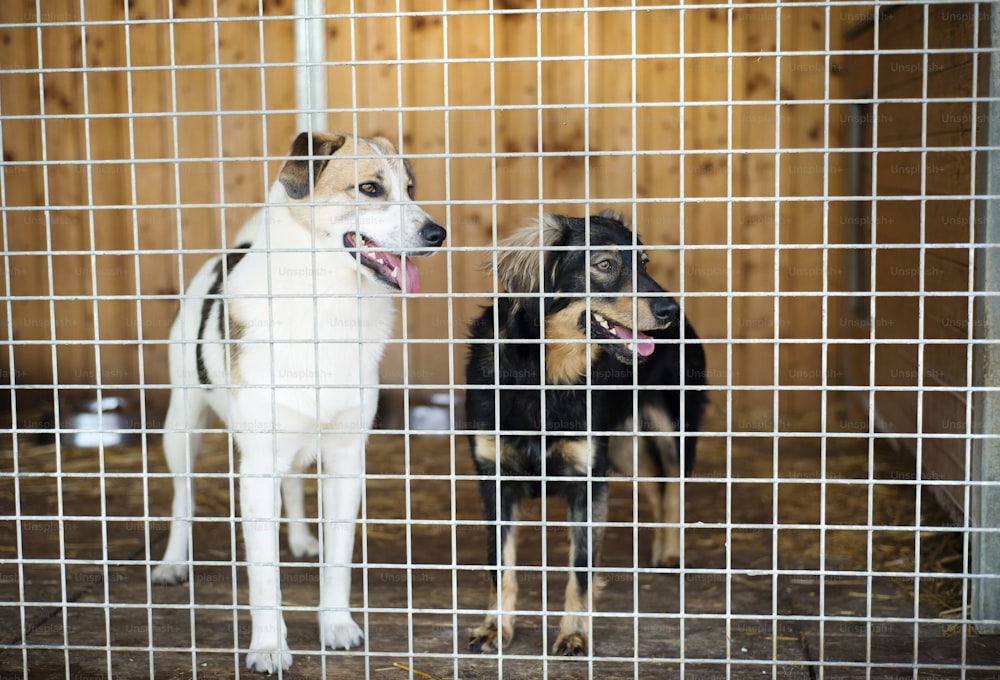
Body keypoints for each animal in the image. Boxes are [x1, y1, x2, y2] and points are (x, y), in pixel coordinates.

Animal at [150, 130, 444, 672]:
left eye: (411, 189)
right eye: (370, 188)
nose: (439, 233)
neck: (324, 301)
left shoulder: (347, 461)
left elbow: (338, 561)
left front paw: (337, 625)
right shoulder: (257, 466)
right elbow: (264, 574)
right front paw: (268, 646)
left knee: (292, 484)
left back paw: (303, 539)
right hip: (182, 426)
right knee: (183, 496)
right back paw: (173, 562)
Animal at [464, 211, 708, 652]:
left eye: (644, 264)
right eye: (605, 265)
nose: (670, 310)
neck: (547, 375)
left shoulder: (588, 480)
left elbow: (580, 569)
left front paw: (574, 633)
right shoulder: (495, 479)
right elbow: (499, 565)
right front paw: (495, 626)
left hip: (672, 430)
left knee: (674, 490)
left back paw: (672, 555)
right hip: (623, 449)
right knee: (657, 486)